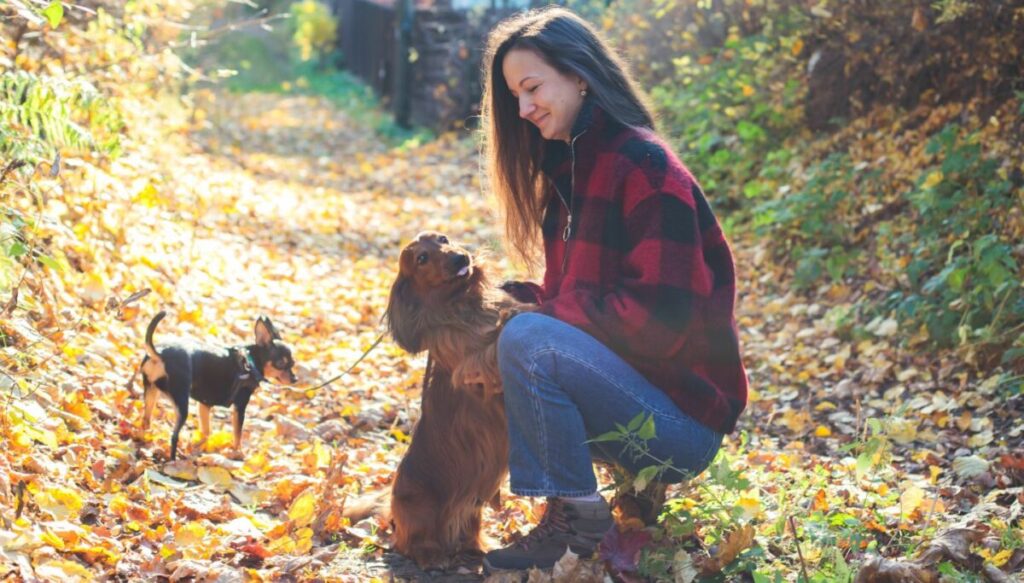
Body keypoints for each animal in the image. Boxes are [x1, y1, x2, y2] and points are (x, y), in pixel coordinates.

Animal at [140, 311, 297, 460]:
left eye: (292, 364)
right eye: (281, 364)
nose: (294, 379)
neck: (251, 361)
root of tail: (160, 354)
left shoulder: (204, 405)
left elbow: (206, 432)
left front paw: (196, 447)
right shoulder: (240, 407)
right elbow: (237, 434)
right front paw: (238, 453)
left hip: (151, 391)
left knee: (146, 419)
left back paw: (145, 438)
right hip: (181, 404)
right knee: (174, 436)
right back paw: (173, 459)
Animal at [384, 231, 533, 569]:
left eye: (443, 239)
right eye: (421, 258)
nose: (460, 258)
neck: (463, 304)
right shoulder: (475, 366)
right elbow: (498, 335)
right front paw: (517, 313)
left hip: (474, 504)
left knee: (468, 531)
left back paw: (477, 547)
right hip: (421, 508)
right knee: (413, 543)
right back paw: (431, 555)